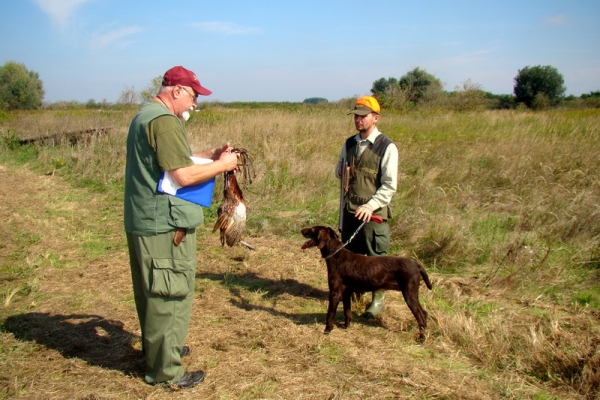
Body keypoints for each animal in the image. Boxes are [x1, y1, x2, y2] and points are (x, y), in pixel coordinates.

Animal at [300, 225, 432, 338]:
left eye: (312, 229)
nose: (301, 230)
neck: (336, 255)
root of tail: (417, 265)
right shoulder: (346, 293)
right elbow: (347, 312)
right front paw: (346, 326)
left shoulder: (335, 293)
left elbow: (330, 314)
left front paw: (327, 330)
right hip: (412, 294)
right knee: (424, 313)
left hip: (409, 295)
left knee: (421, 317)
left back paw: (421, 338)